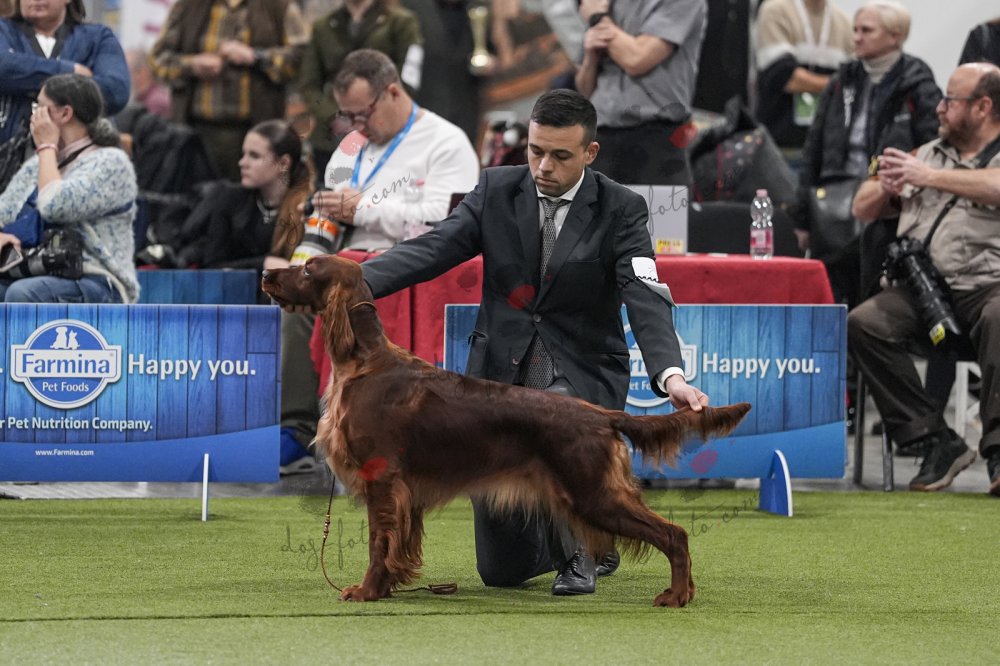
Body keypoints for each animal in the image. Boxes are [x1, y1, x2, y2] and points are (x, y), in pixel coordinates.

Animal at [262, 255, 751, 607]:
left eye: (308, 268)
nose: (265, 272)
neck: (365, 362)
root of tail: (600, 414)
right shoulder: (401, 492)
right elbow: (395, 544)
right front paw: (387, 587)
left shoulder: (382, 479)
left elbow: (377, 543)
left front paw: (365, 591)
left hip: (593, 492)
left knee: (674, 534)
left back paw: (676, 596)